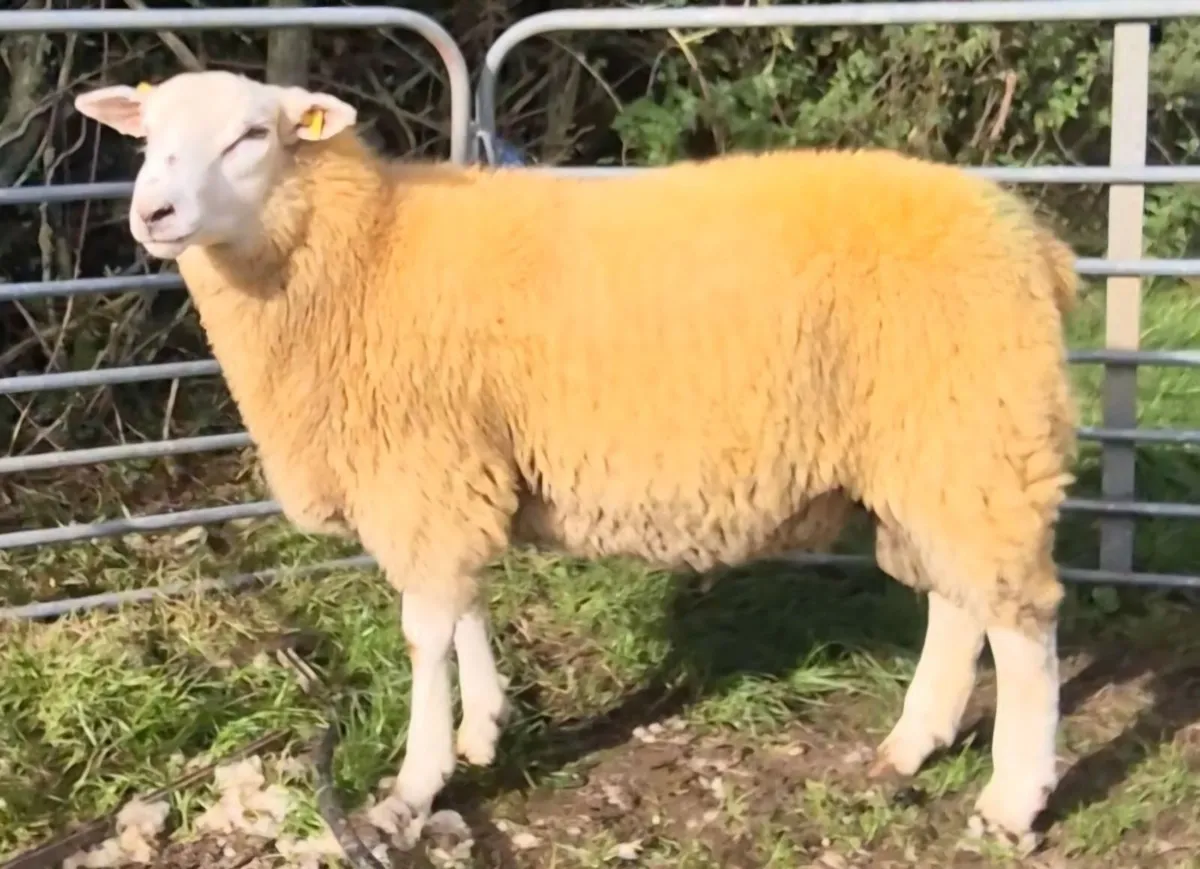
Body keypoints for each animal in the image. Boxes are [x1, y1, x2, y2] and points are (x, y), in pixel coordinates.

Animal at [74, 69, 1079, 849]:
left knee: (1023, 623)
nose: (152, 213)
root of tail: (1032, 239)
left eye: (252, 134)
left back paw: (1012, 798)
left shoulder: (422, 464)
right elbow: (466, 600)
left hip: (976, 429)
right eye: (147, 136)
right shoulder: (462, 461)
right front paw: (483, 729)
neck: (359, 251)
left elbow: (424, 628)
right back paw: (913, 742)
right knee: (960, 601)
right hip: (932, 445)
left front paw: (416, 782)